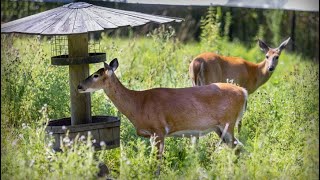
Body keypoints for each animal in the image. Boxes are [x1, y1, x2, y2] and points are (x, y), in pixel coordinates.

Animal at [77, 58, 248, 172]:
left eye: (96, 75)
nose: (79, 86)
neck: (138, 104)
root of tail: (243, 92)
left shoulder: (159, 130)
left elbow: (156, 162)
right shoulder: (152, 135)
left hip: (228, 123)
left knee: (238, 147)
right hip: (219, 128)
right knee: (237, 148)